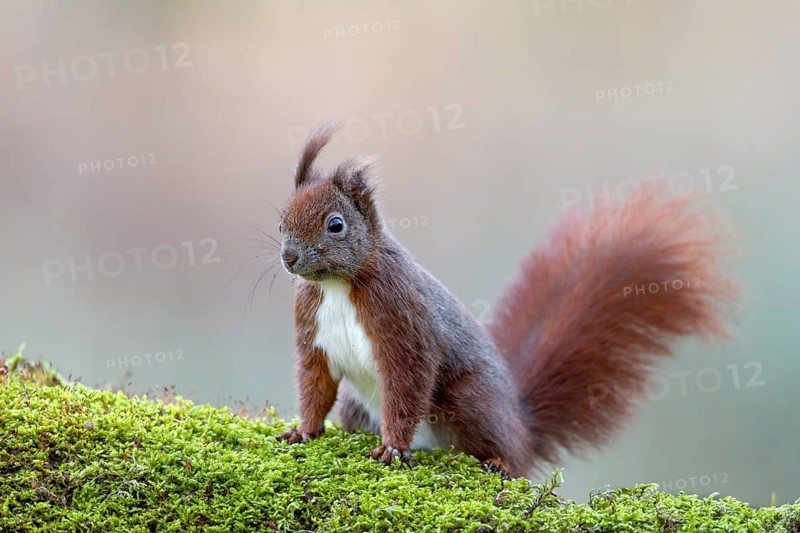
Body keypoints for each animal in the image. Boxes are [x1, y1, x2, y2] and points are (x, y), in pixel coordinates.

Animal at [276, 123, 738, 478]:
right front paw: (304, 431)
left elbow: (408, 384)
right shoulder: (311, 329)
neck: (338, 285)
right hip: (358, 407)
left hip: (469, 400)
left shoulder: (404, 320)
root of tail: (521, 426)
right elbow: (314, 381)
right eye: (281, 222)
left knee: (506, 453)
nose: (288, 257)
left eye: (336, 225)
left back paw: (500, 462)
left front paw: (392, 448)